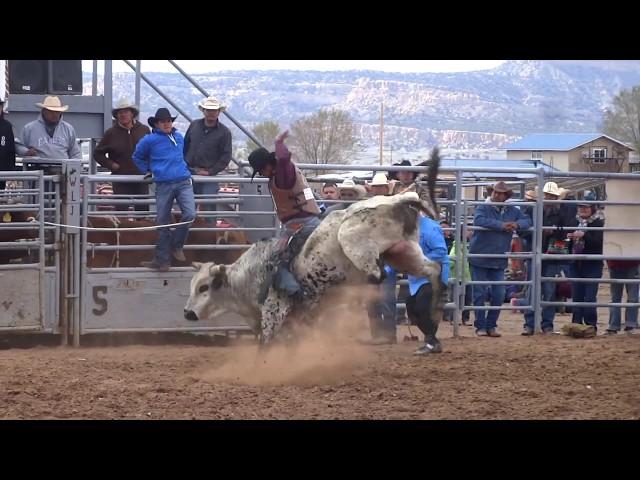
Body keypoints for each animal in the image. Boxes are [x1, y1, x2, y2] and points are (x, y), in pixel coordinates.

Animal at [185, 148, 444, 344]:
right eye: (193, 285)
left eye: (204, 287)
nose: (188, 312)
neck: (249, 275)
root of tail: (397, 199)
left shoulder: (274, 313)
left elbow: (266, 347)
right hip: (404, 253)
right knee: (434, 270)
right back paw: (435, 310)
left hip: (354, 241)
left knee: (377, 274)